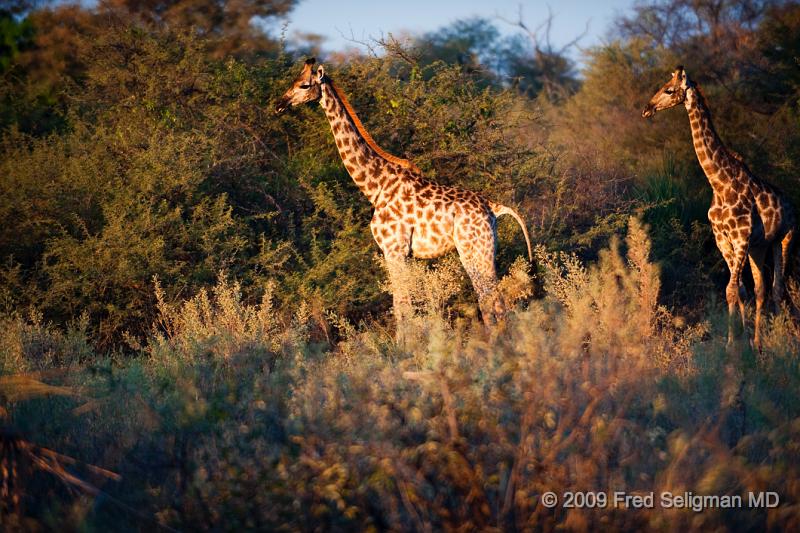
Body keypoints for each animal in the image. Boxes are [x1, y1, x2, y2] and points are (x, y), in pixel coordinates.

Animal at [276, 57, 532, 332]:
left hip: (472, 249)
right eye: (293, 81)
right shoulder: (404, 254)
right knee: (496, 301)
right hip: (486, 249)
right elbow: (404, 305)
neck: (375, 186)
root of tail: (493, 207)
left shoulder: (394, 249)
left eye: (303, 85)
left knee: (489, 300)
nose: (280, 104)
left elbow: (402, 307)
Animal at [644, 65, 792, 344]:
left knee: (778, 287)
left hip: (786, 238)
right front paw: (739, 341)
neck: (720, 184)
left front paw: (733, 345)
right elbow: (737, 290)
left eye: (669, 90)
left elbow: (732, 289)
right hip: (761, 246)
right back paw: (758, 342)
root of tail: (791, 203)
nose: (647, 108)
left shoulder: (742, 236)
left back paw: (776, 341)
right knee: (762, 288)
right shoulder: (723, 239)